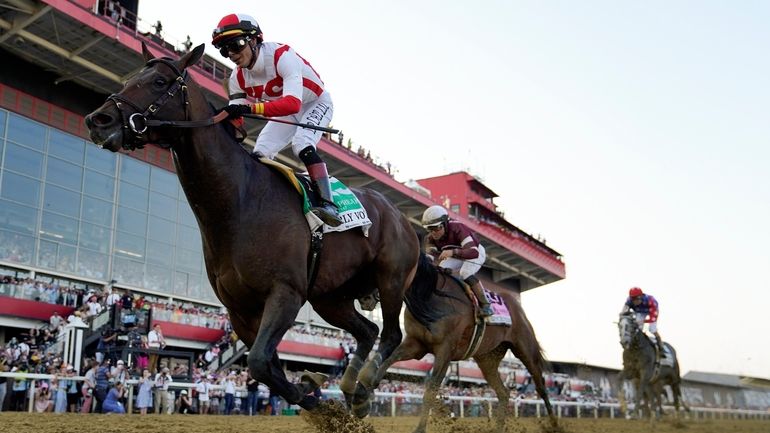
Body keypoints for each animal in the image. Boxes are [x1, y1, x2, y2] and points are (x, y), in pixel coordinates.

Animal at [85, 44, 416, 412]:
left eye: (158, 81)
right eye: (130, 78)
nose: (98, 120)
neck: (239, 204)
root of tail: (401, 216)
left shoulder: (286, 292)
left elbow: (258, 361)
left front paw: (311, 394)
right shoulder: (240, 309)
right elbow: (266, 363)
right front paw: (311, 390)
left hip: (391, 279)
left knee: (391, 334)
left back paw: (364, 386)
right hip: (330, 297)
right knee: (367, 332)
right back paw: (350, 391)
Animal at [352, 253, 556, 432]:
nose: (364, 298)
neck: (431, 296)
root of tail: (518, 308)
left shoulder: (445, 350)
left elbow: (431, 389)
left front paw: (419, 428)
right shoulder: (416, 343)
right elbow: (389, 360)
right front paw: (365, 390)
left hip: (525, 349)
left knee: (541, 386)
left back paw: (554, 424)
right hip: (488, 358)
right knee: (504, 393)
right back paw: (498, 427)